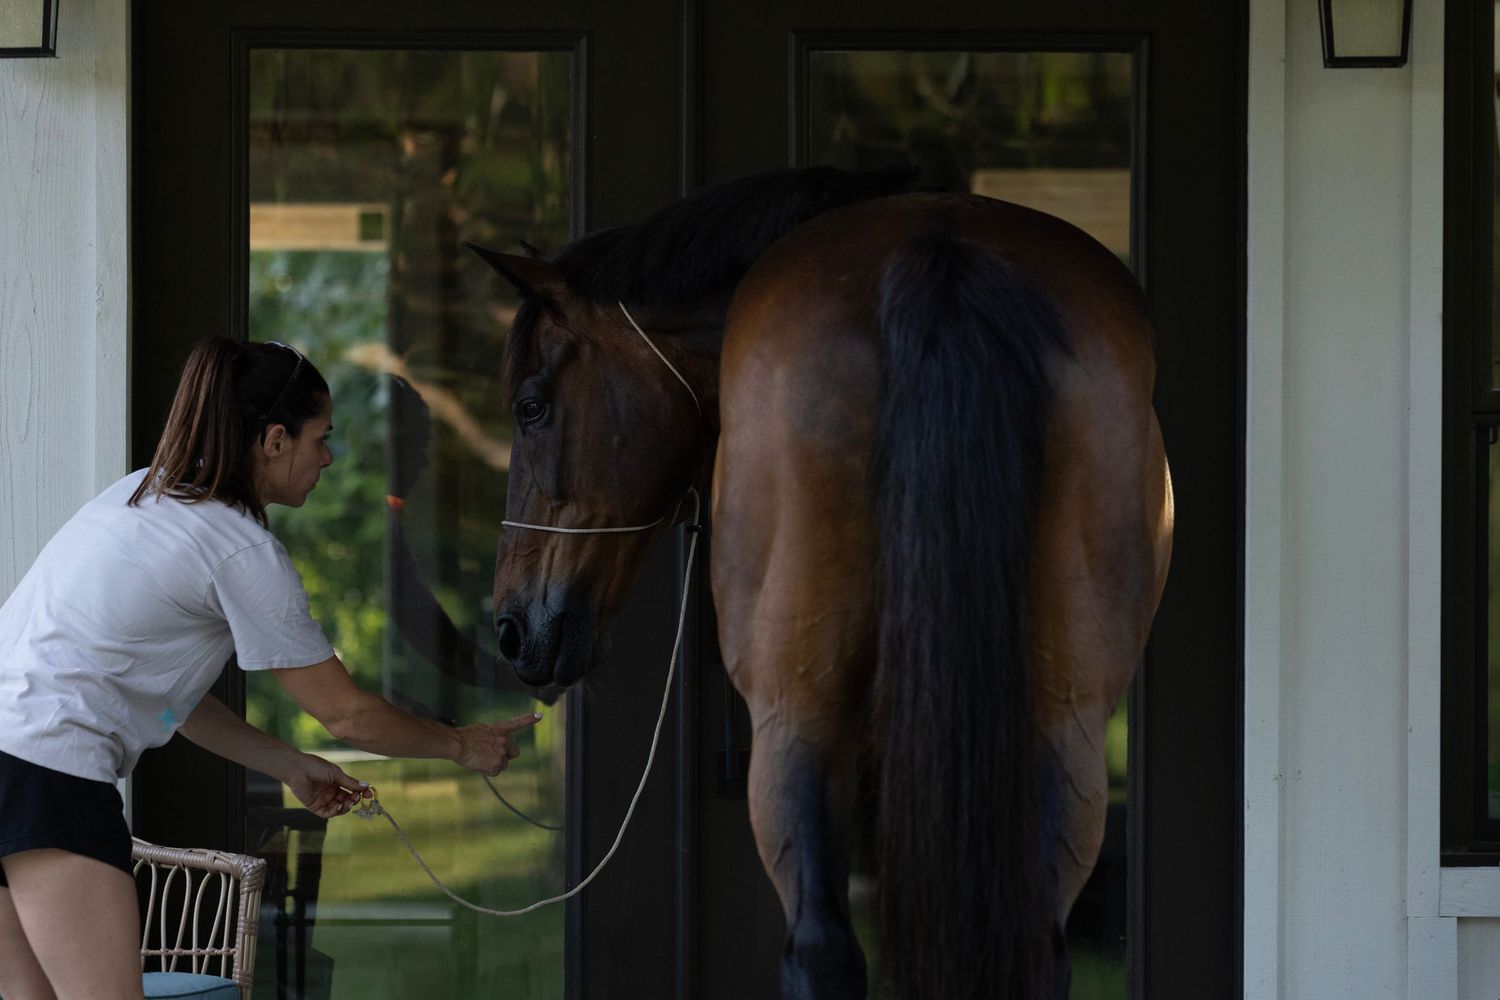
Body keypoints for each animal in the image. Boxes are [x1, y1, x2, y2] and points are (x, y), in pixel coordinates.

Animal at [468, 164, 1173, 1000]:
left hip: (796, 713)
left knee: (820, 946)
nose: (511, 629)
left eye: (530, 406)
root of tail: (939, 250)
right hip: (1066, 712)